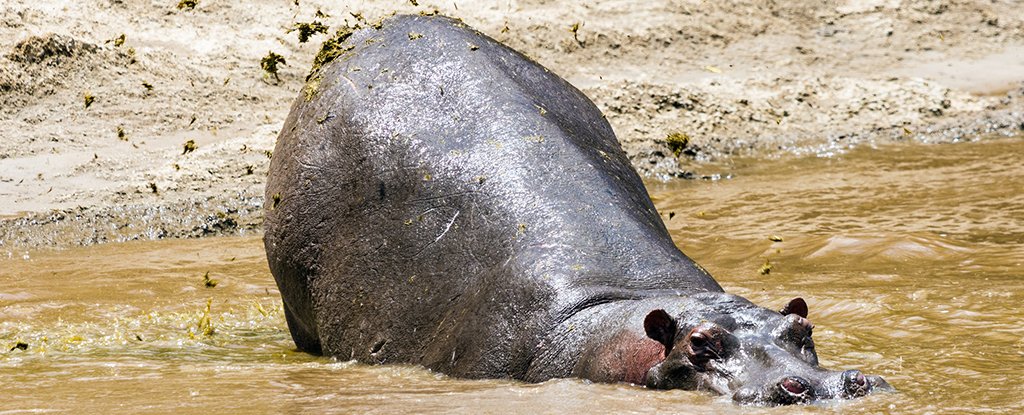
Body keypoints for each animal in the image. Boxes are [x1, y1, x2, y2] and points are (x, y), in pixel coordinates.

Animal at [262, 13, 888, 403]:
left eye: (803, 327)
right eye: (699, 345)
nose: (825, 387)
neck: (616, 317)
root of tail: (368, 31)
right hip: (297, 295)